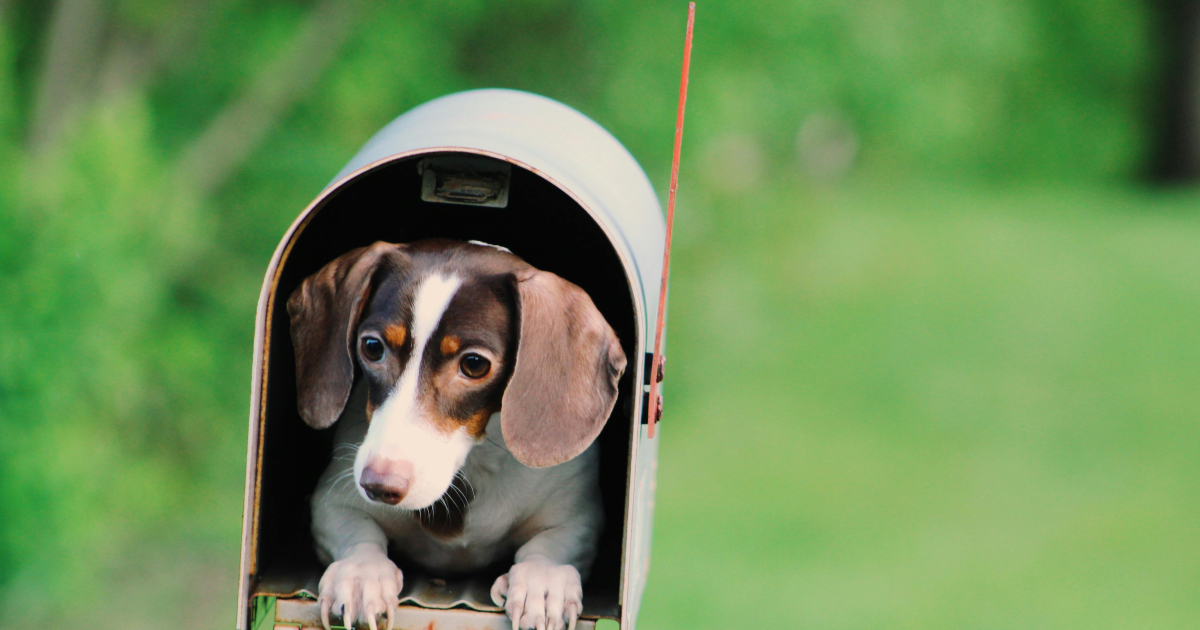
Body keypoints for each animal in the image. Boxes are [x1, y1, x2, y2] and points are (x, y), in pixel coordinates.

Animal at [288, 240, 628, 628]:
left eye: (474, 364)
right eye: (372, 347)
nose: (378, 486)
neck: (473, 462)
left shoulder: (577, 517)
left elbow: (549, 547)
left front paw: (543, 582)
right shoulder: (332, 502)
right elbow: (358, 534)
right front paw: (361, 573)